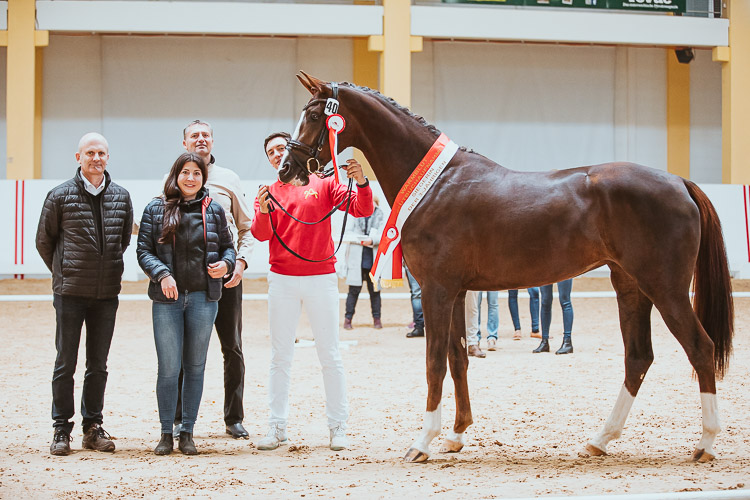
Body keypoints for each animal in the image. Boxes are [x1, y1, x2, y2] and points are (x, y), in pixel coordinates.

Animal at [280, 71, 734, 464]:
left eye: (317, 115)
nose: (287, 169)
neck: (436, 184)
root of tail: (680, 182)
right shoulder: (456, 291)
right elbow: (458, 357)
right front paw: (456, 435)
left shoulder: (437, 290)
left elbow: (434, 362)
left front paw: (422, 442)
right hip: (631, 287)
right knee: (638, 357)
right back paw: (600, 440)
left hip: (666, 288)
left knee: (700, 348)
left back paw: (706, 443)